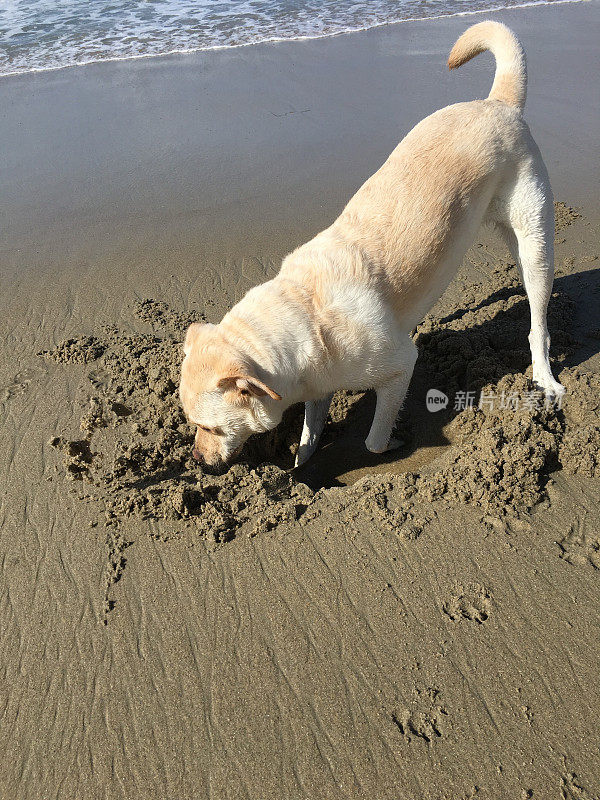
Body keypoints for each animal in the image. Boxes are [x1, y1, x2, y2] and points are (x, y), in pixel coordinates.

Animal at [180, 20, 564, 468]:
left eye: (210, 428)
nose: (197, 461)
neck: (305, 311)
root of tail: (497, 103)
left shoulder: (400, 366)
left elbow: (373, 440)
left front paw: (393, 442)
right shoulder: (317, 385)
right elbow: (311, 425)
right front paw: (303, 458)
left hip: (534, 242)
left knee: (538, 322)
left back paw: (544, 376)